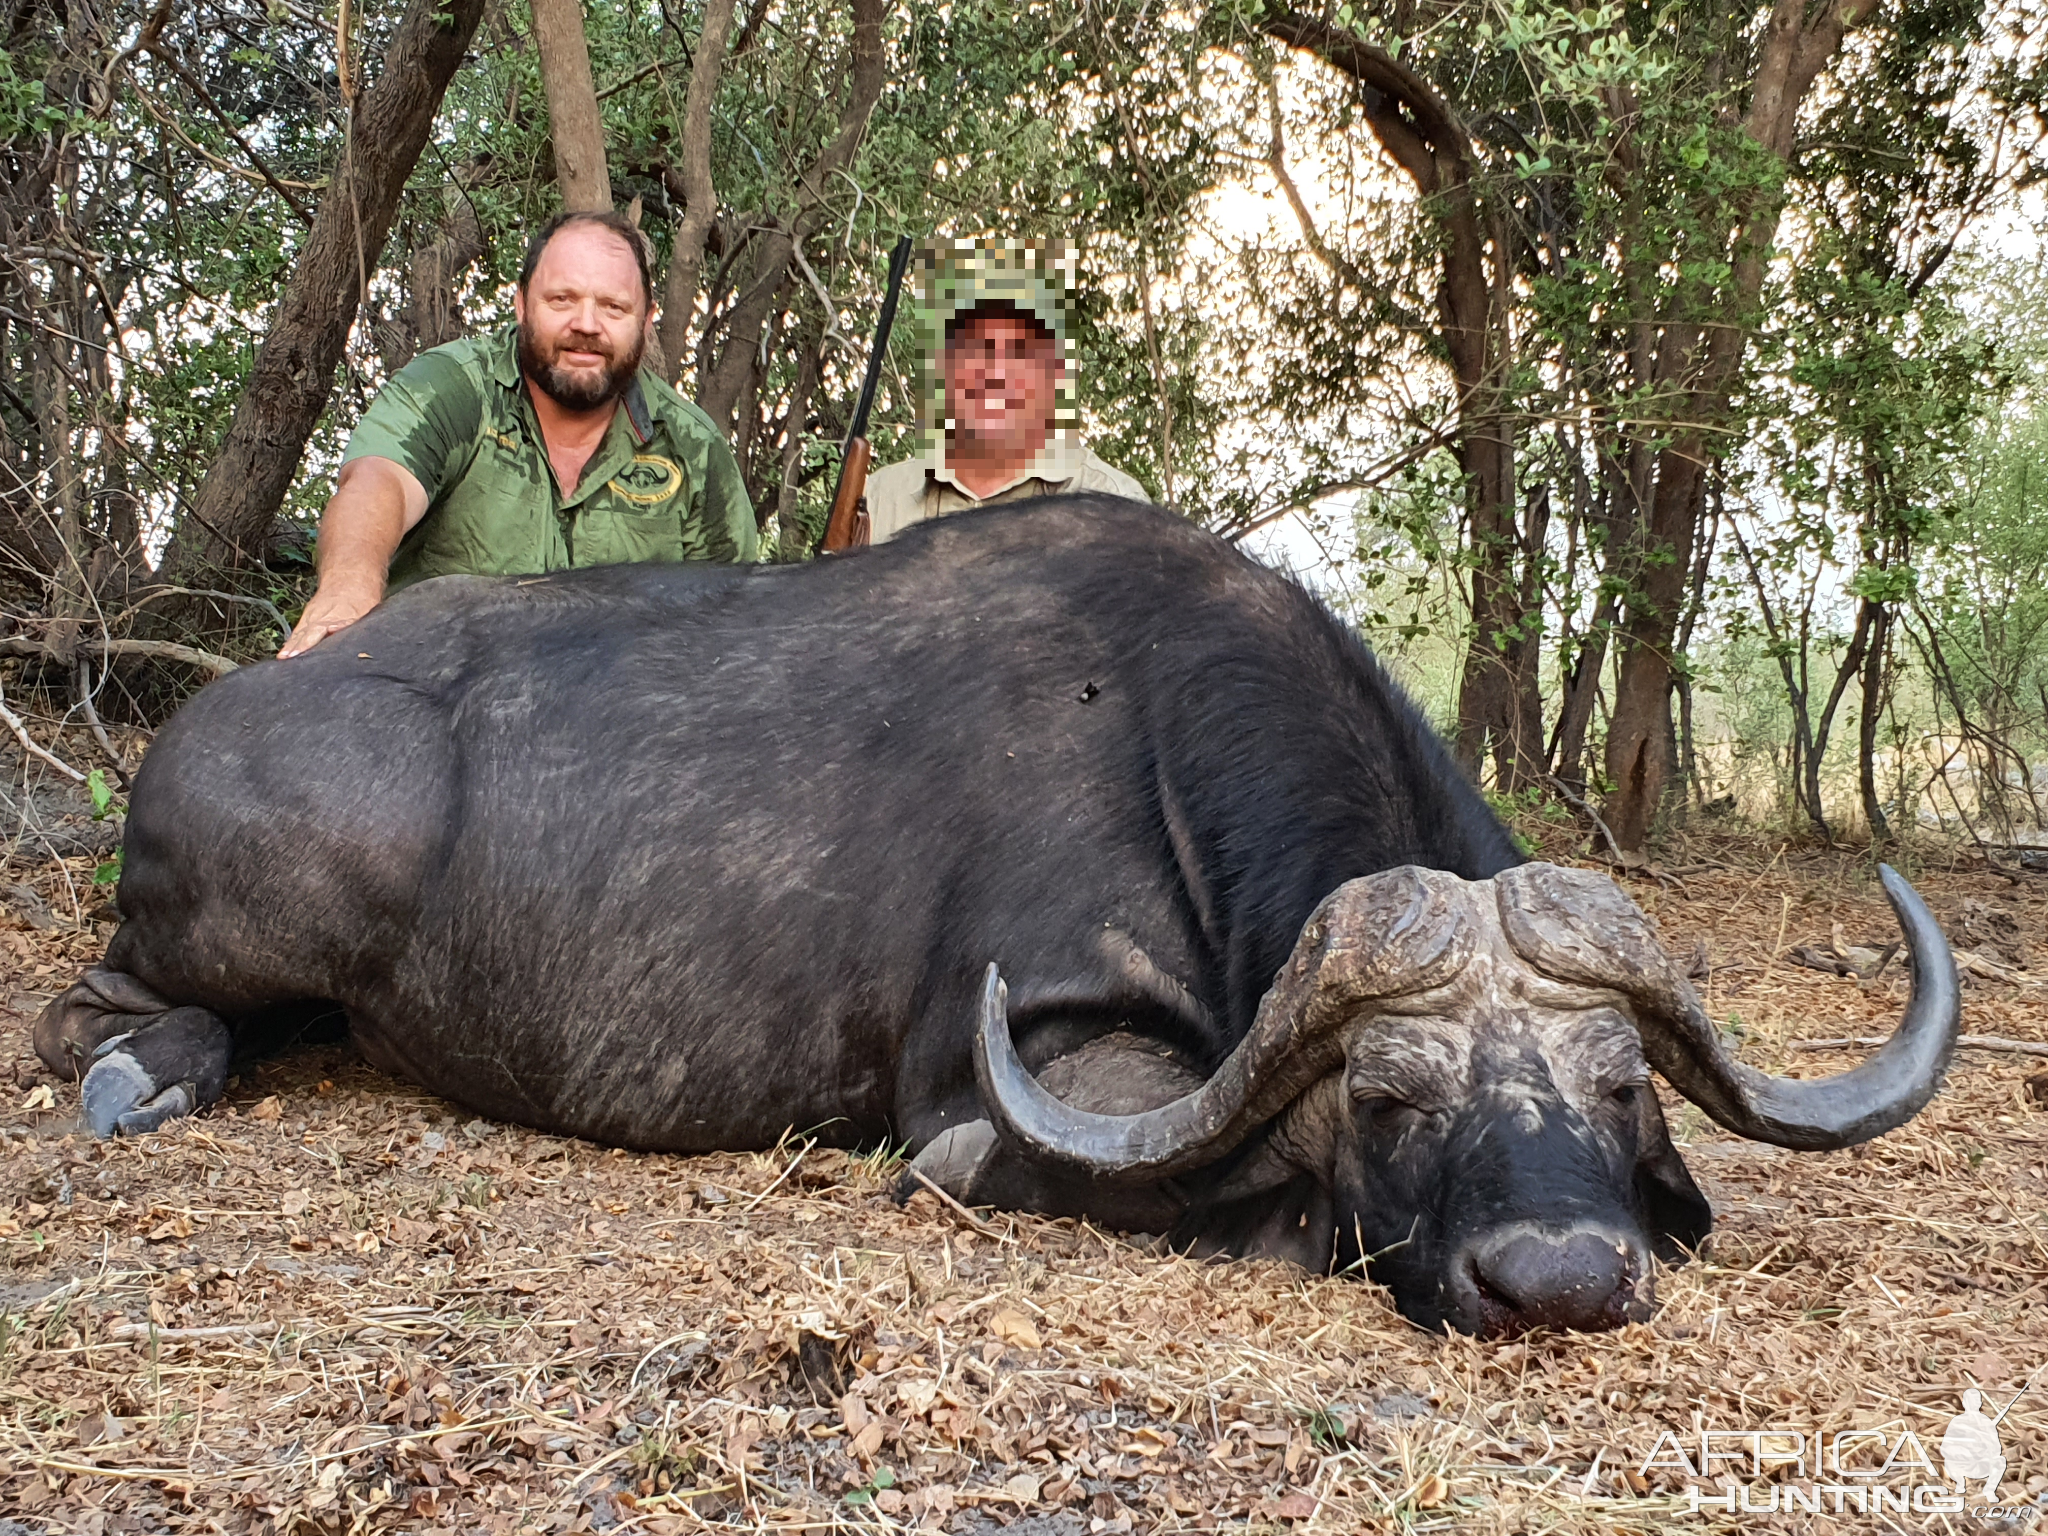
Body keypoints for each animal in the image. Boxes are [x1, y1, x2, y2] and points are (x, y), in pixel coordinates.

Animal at [34, 498, 1958, 1335]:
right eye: (1389, 1097)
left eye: (1618, 1088)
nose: (1556, 1277)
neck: (1160, 728)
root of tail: (212, 717)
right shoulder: (1001, 1089)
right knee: (96, 1005)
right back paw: (144, 1073)